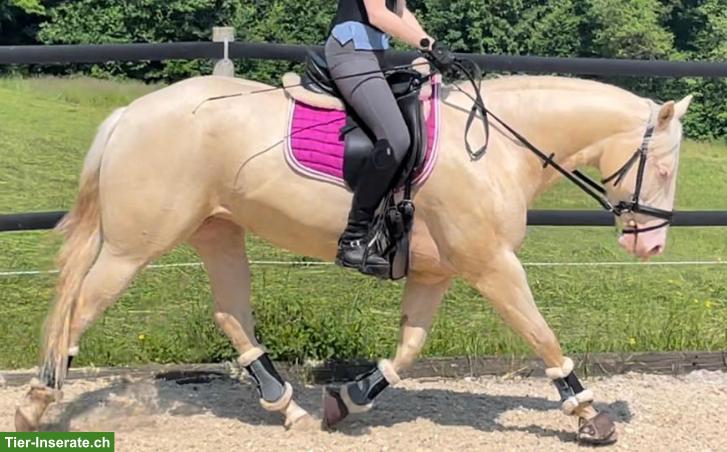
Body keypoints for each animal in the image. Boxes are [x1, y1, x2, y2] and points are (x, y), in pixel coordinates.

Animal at [14, 68, 692, 445]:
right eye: (662, 166)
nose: (652, 244)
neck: (493, 148)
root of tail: (133, 111)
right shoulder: (493, 265)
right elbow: (542, 335)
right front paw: (590, 417)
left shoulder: (438, 272)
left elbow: (410, 349)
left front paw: (348, 401)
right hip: (135, 245)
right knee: (76, 312)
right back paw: (34, 404)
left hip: (217, 232)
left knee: (231, 316)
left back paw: (288, 408)